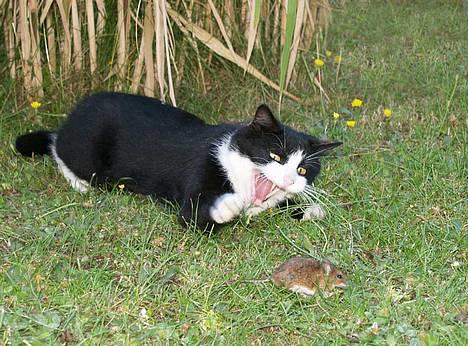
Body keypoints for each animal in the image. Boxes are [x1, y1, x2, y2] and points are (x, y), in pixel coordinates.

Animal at [16, 93, 342, 231]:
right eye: (275, 156)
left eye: (302, 169)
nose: (288, 179)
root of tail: (75, 113)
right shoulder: (201, 171)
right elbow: (196, 213)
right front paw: (227, 206)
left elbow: (279, 205)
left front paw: (309, 209)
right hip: (88, 151)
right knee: (58, 146)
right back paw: (78, 181)